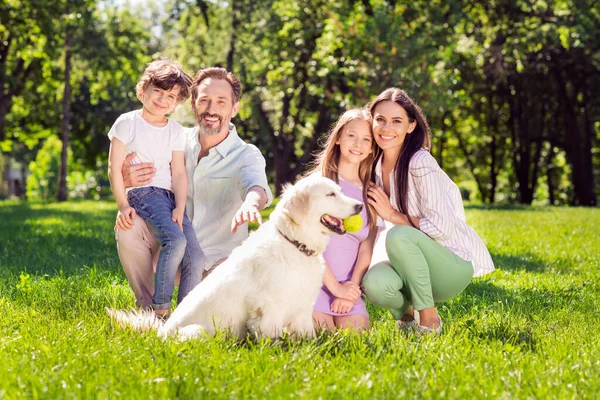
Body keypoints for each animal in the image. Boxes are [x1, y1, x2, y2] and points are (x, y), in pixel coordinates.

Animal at [108, 176, 364, 340]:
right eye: (330, 194)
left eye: (339, 190)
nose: (360, 205)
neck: (294, 243)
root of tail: (160, 333)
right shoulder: (269, 309)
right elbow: (273, 340)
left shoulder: (302, 309)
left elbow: (309, 338)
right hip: (197, 333)